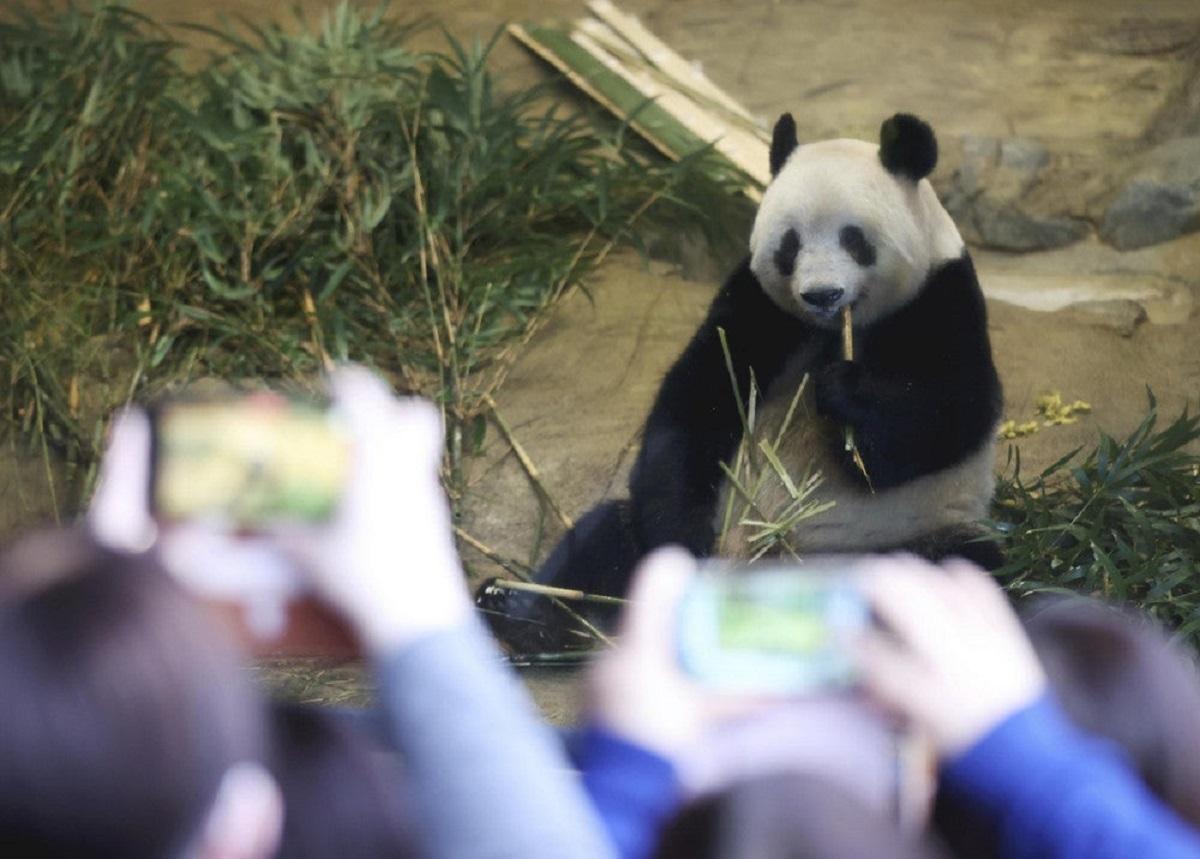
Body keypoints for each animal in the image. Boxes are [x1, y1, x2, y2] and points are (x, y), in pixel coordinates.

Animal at [477, 113, 1003, 652]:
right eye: (790, 244)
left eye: (854, 239)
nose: (821, 295)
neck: (832, 329)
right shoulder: (758, 306)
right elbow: (696, 404)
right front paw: (681, 539)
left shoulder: (941, 297)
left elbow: (951, 414)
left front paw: (848, 396)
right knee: (607, 537)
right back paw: (524, 615)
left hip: (905, 538)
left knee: (960, 566)